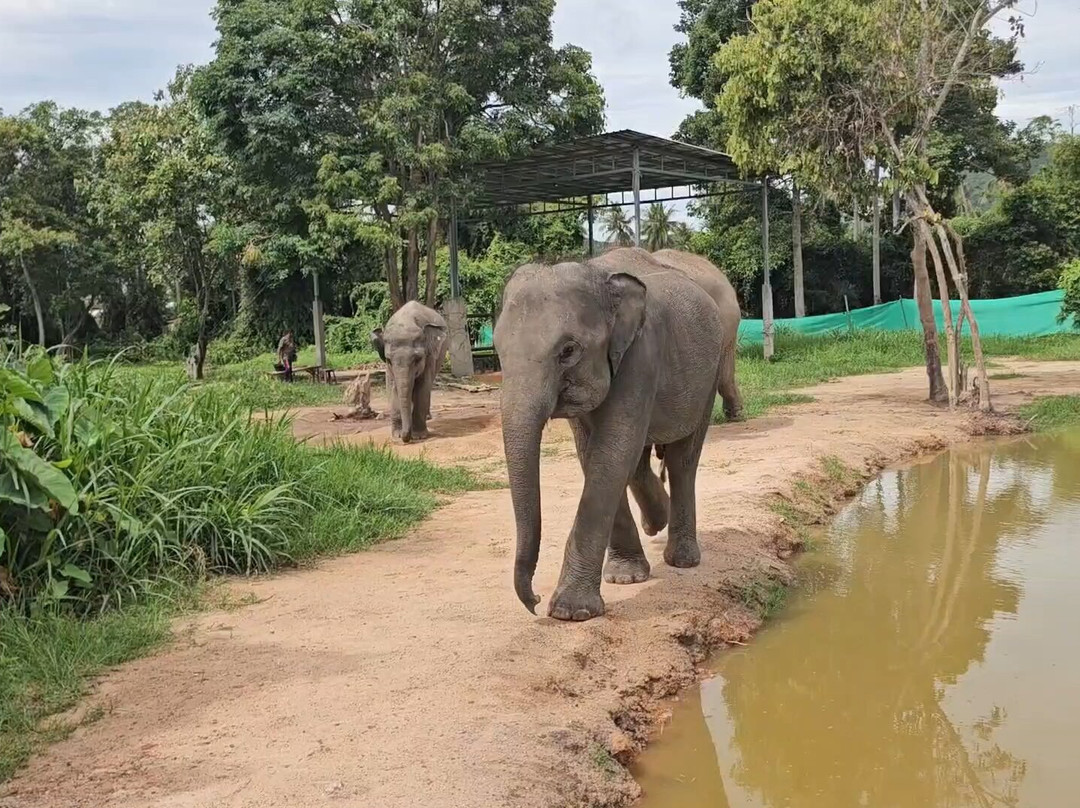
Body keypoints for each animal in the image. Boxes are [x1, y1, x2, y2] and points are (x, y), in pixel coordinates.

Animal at [371, 301, 448, 443]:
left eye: (418, 359)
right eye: (388, 360)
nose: (405, 437)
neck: (406, 321)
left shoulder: (429, 357)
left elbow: (422, 387)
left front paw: (419, 436)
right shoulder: (388, 368)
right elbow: (392, 388)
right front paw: (397, 435)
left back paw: (427, 417)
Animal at [494, 247, 741, 621]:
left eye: (568, 351)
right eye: (497, 350)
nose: (534, 601)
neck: (597, 275)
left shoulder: (642, 357)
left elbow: (611, 453)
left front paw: (570, 612)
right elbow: (595, 453)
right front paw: (625, 578)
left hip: (709, 374)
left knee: (683, 460)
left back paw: (682, 559)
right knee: (640, 461)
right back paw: (656, 520)